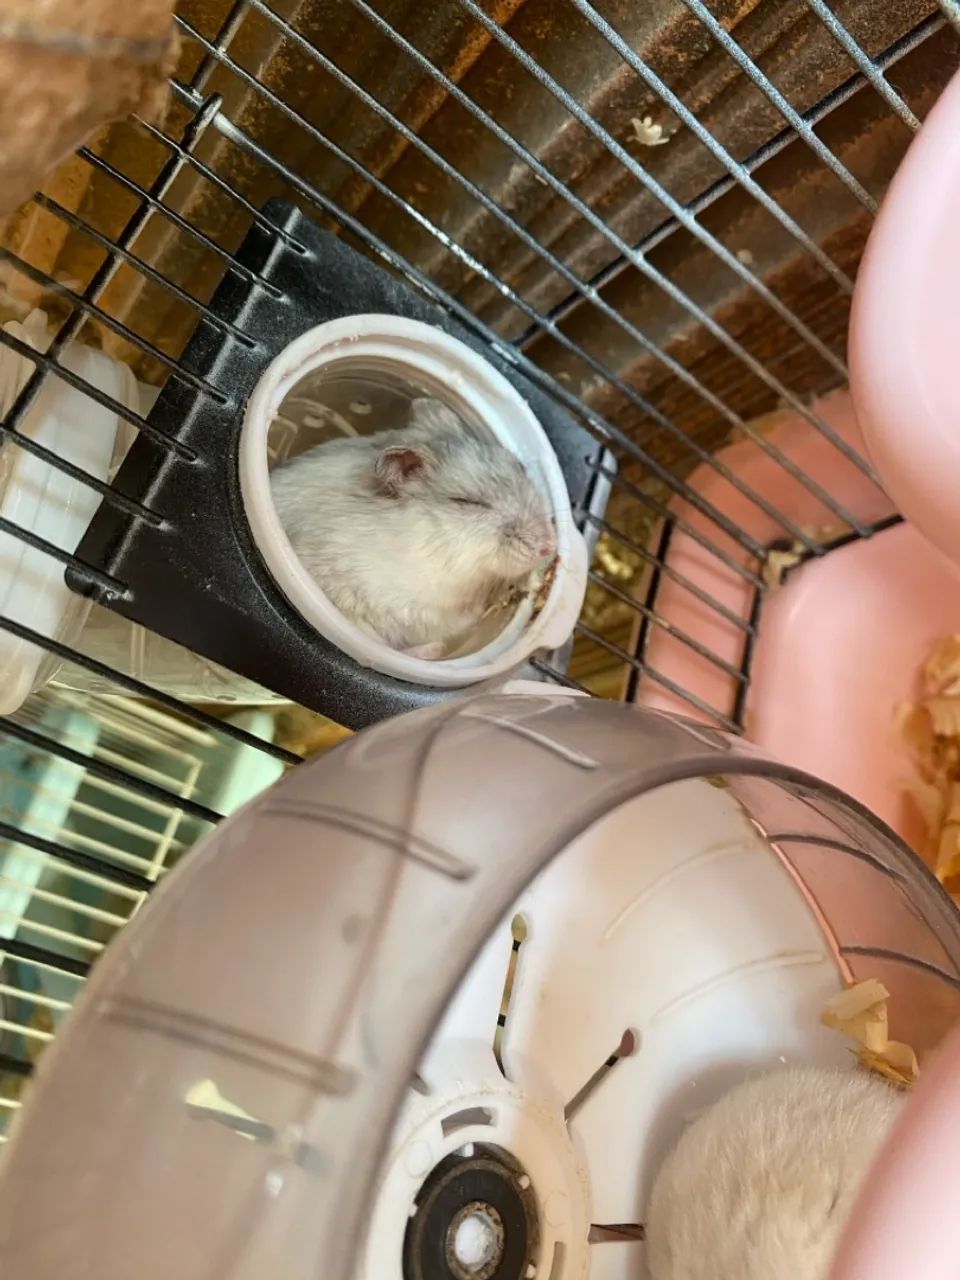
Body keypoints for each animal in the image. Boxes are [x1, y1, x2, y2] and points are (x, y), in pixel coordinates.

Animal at [268, 397, 557, 657]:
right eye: (467, 502)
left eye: (520, 467)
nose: (548, 547)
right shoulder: (415, 607)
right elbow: (459, 617)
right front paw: (485, 602)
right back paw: (432, 649)